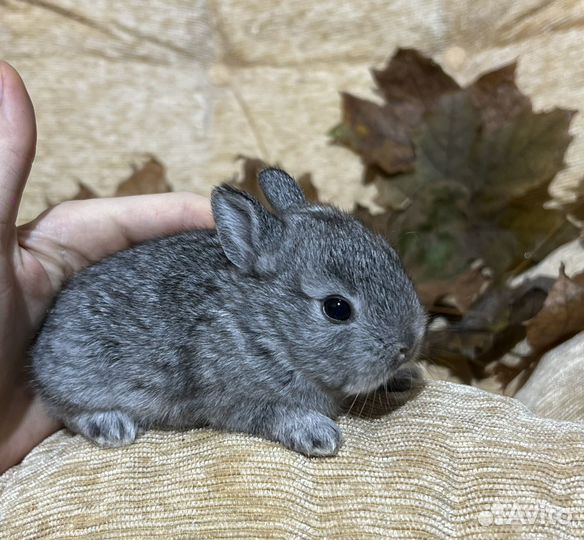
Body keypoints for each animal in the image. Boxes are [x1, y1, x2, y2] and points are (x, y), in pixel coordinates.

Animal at [30, 169, 424, 456]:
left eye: (392, 256)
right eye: (336, 308)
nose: (408, 344)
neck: (266, 327)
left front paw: (408, 377)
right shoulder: (237, 400)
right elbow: (275, 414)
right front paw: (318, 435)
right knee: (68, 411)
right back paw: (111, 427)